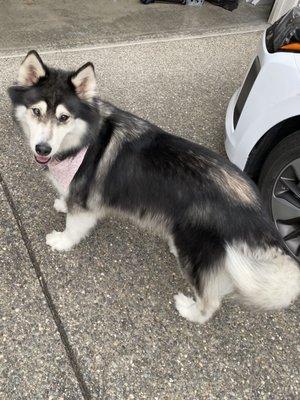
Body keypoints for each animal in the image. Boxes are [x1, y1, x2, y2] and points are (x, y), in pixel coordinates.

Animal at [8, 50, 300, 324]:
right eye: (36, 111)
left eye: (64, 117)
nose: (42, 149)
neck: (84, 141)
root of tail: (254, 203)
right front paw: (61, 202)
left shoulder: (84, 202)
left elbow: (74, 226)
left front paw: (62, 241)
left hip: (197, 251)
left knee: (211, 300)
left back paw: (190, 310)